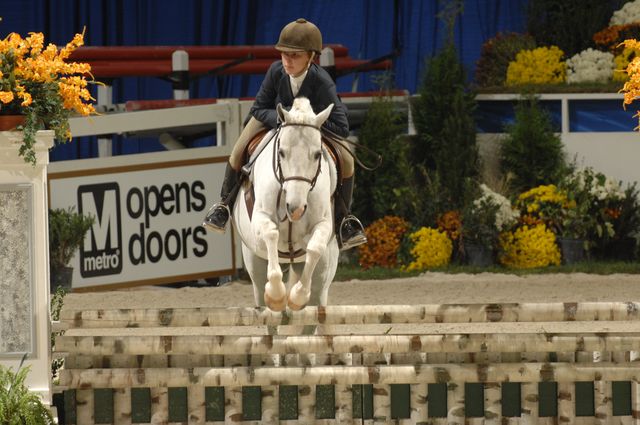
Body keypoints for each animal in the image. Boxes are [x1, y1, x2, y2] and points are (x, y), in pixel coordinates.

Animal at [231, 97, 340, 312]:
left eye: (317, 154)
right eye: (281, 152)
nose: (295, 209)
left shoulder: (323, 224)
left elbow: (315, 247)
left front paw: (297, 296)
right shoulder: (261, 217)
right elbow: (271, 234)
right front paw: (276, 295)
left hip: (322, 275)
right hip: (255, 261)